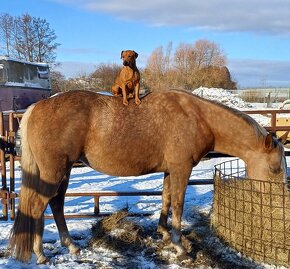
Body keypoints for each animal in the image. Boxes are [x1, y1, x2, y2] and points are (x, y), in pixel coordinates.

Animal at [9, 88, 288, 262]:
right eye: (275, 168)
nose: (276, 203)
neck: (199, 118)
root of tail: (37, 107)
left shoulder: (169, 170)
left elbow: (166, 199)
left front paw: (163, 233)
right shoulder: (182, 169)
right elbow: (178, 204)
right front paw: (179, 246)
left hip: (63, 171)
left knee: (56, 204)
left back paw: (71, 246)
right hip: (54, 172)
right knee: (37, 207)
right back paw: (40, 254)